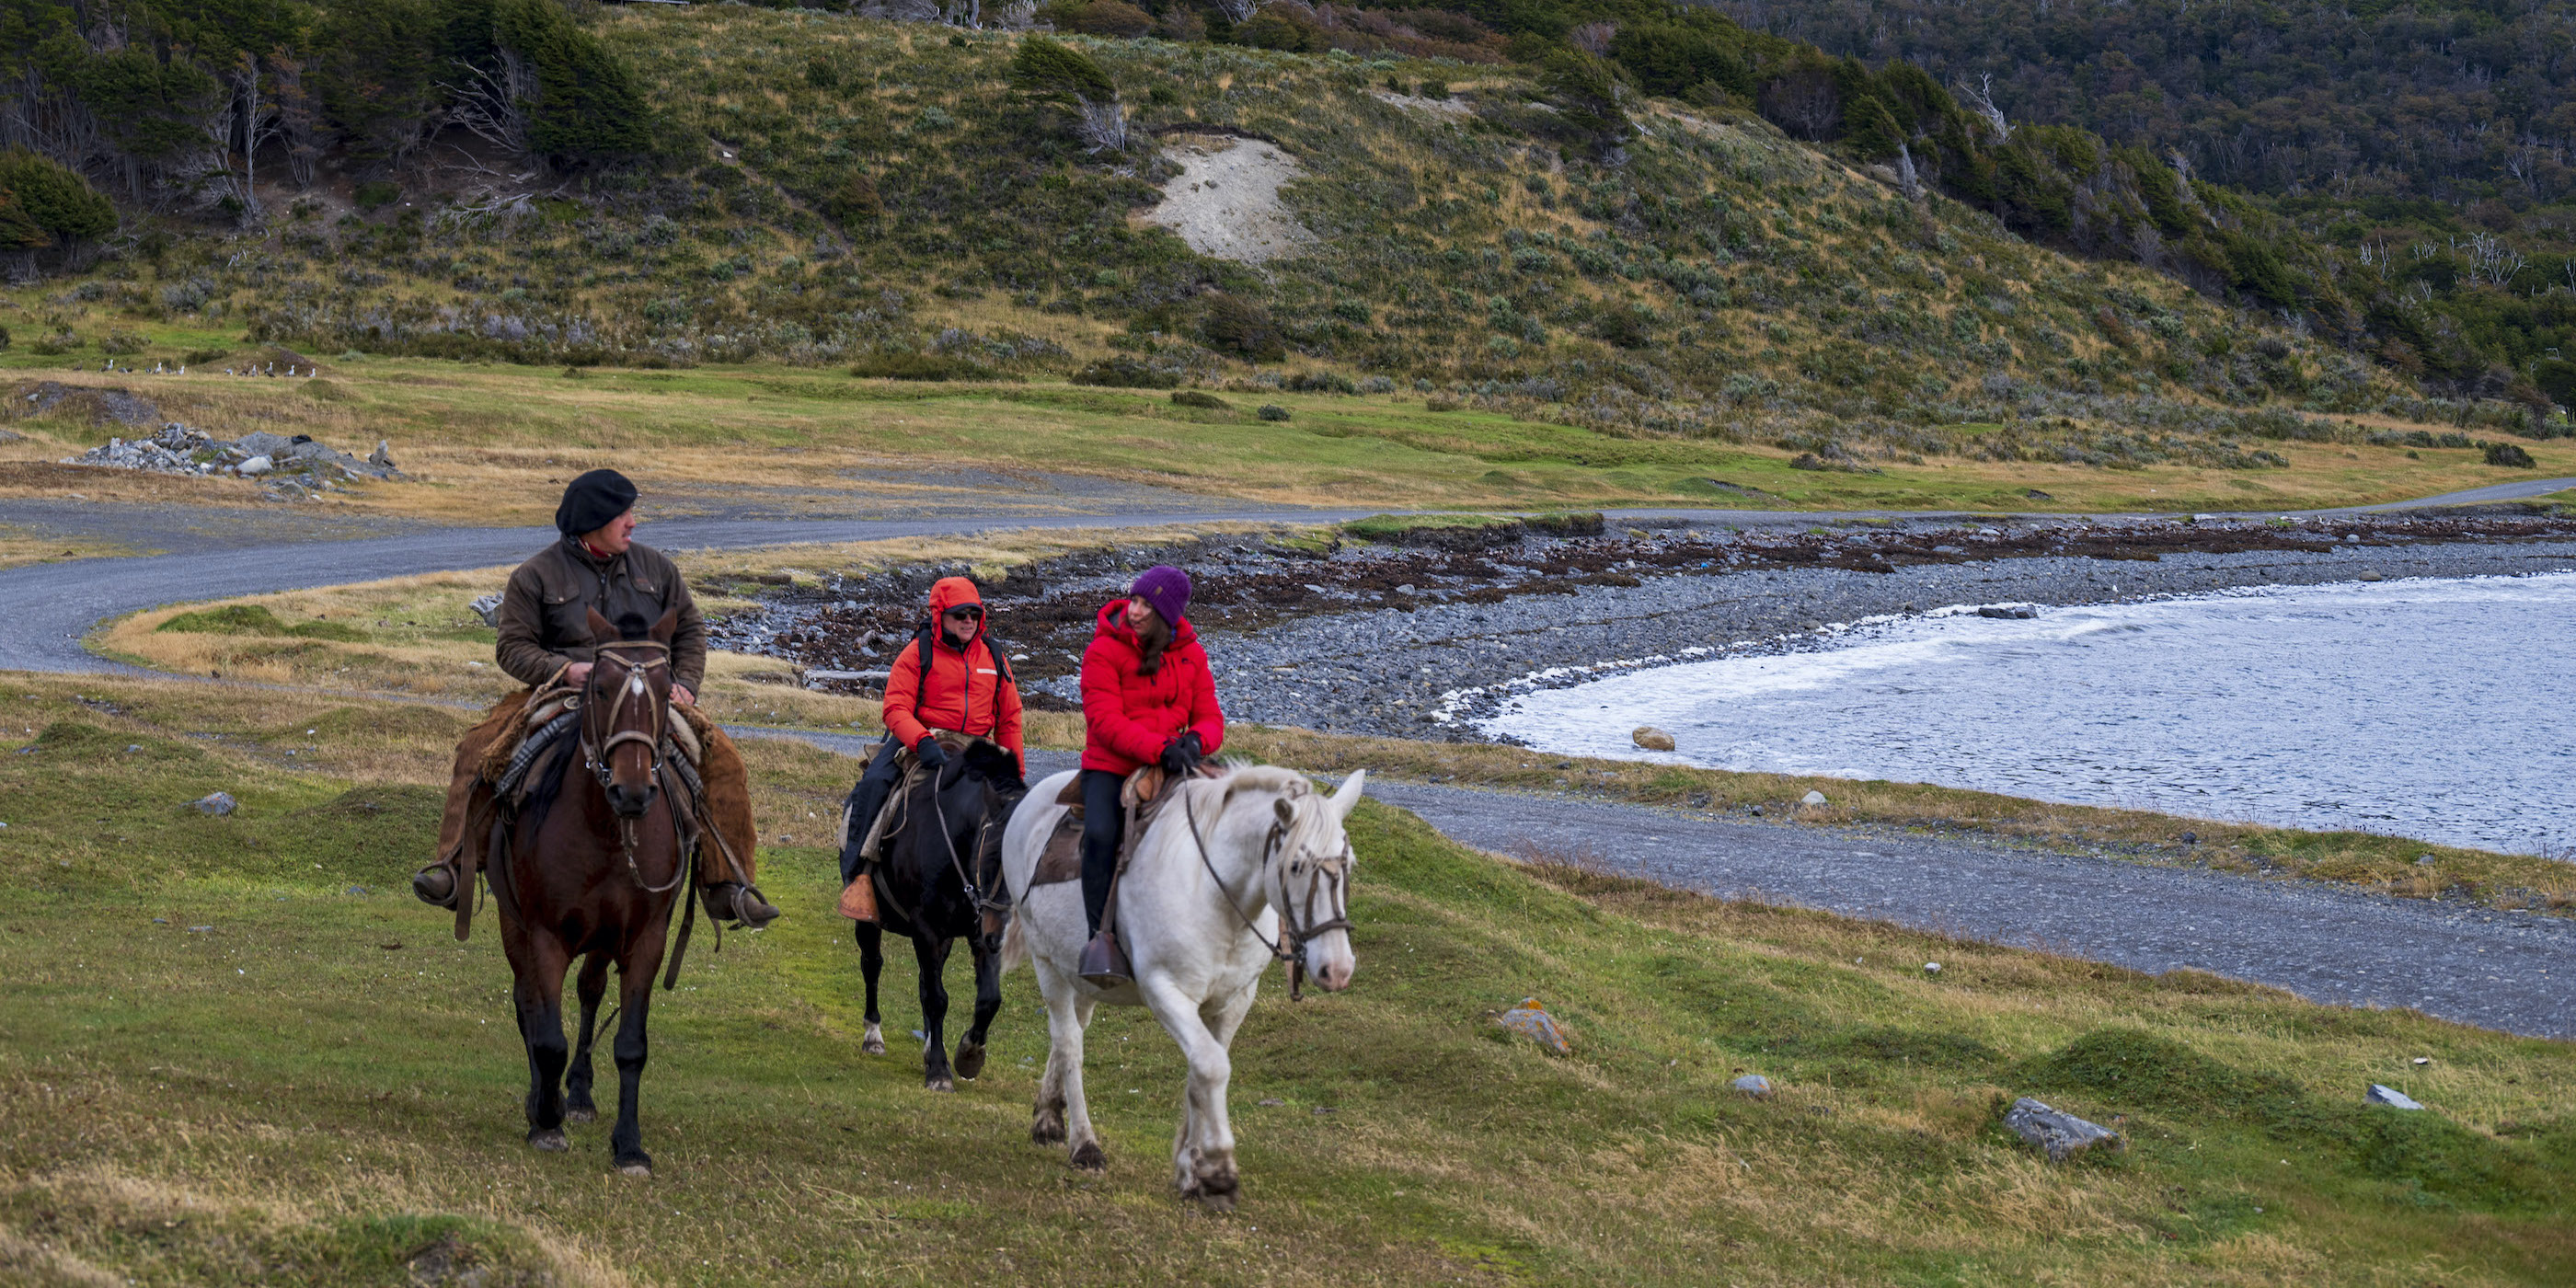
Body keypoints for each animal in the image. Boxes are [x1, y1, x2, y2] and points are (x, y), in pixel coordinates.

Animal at [486, 606, 692, 1178]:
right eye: (598, 687)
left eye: (666, 690)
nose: (632, 791)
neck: (606, 832)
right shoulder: (544, 935)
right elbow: (547, 1035)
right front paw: (546, 1121)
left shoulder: (645, 939)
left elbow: (631, 1045)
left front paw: (630, 1147)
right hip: (515, 924)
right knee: (528, 1003)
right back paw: (545, 1101)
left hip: (602, 940)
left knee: (590, 991)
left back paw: (577, 1095)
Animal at [835, 735, 1026, 1091]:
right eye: (992, 854)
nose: (1000, 936)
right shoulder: (927, 928)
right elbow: (937, 999)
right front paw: (939, 1070)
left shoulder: (976, 931)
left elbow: (988, 999)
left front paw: (968, 1055)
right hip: (870, 920)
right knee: (872, 965)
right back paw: (873, 1036)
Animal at [999, 764, 1364, 1209]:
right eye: (1295, 865)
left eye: (1349, 864)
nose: (1338, 969)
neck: (1214, 895)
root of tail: (1035, 798)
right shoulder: (1166, 992)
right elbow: (1211, 1066)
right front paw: (1220, 1172)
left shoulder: (1233, 1002)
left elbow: (1200, 1074)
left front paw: (1192, 1171)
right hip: (1046, 962)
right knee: (1069, 1043)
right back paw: (1084, 1144)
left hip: (1079, 975)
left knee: (1071, 1033)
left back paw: (1048, 1115)